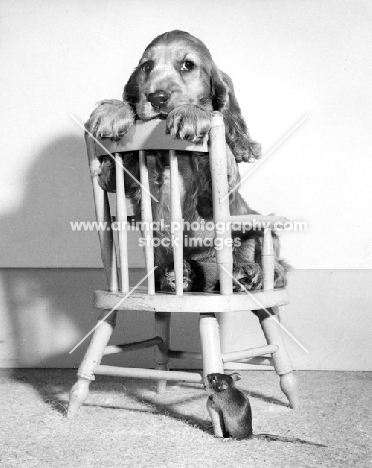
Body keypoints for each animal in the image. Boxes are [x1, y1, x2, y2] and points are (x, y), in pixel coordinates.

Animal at [86, 29, 288, 290]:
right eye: (146, 67)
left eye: (187, 65)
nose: (157, 97)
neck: (168, 154)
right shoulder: (128, 180)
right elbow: (114, 170)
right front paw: (113, 111)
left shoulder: (216, 194)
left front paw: (192, 114)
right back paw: (182, 275)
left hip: (255, 230)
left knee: (273, 260)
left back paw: (251, 272)